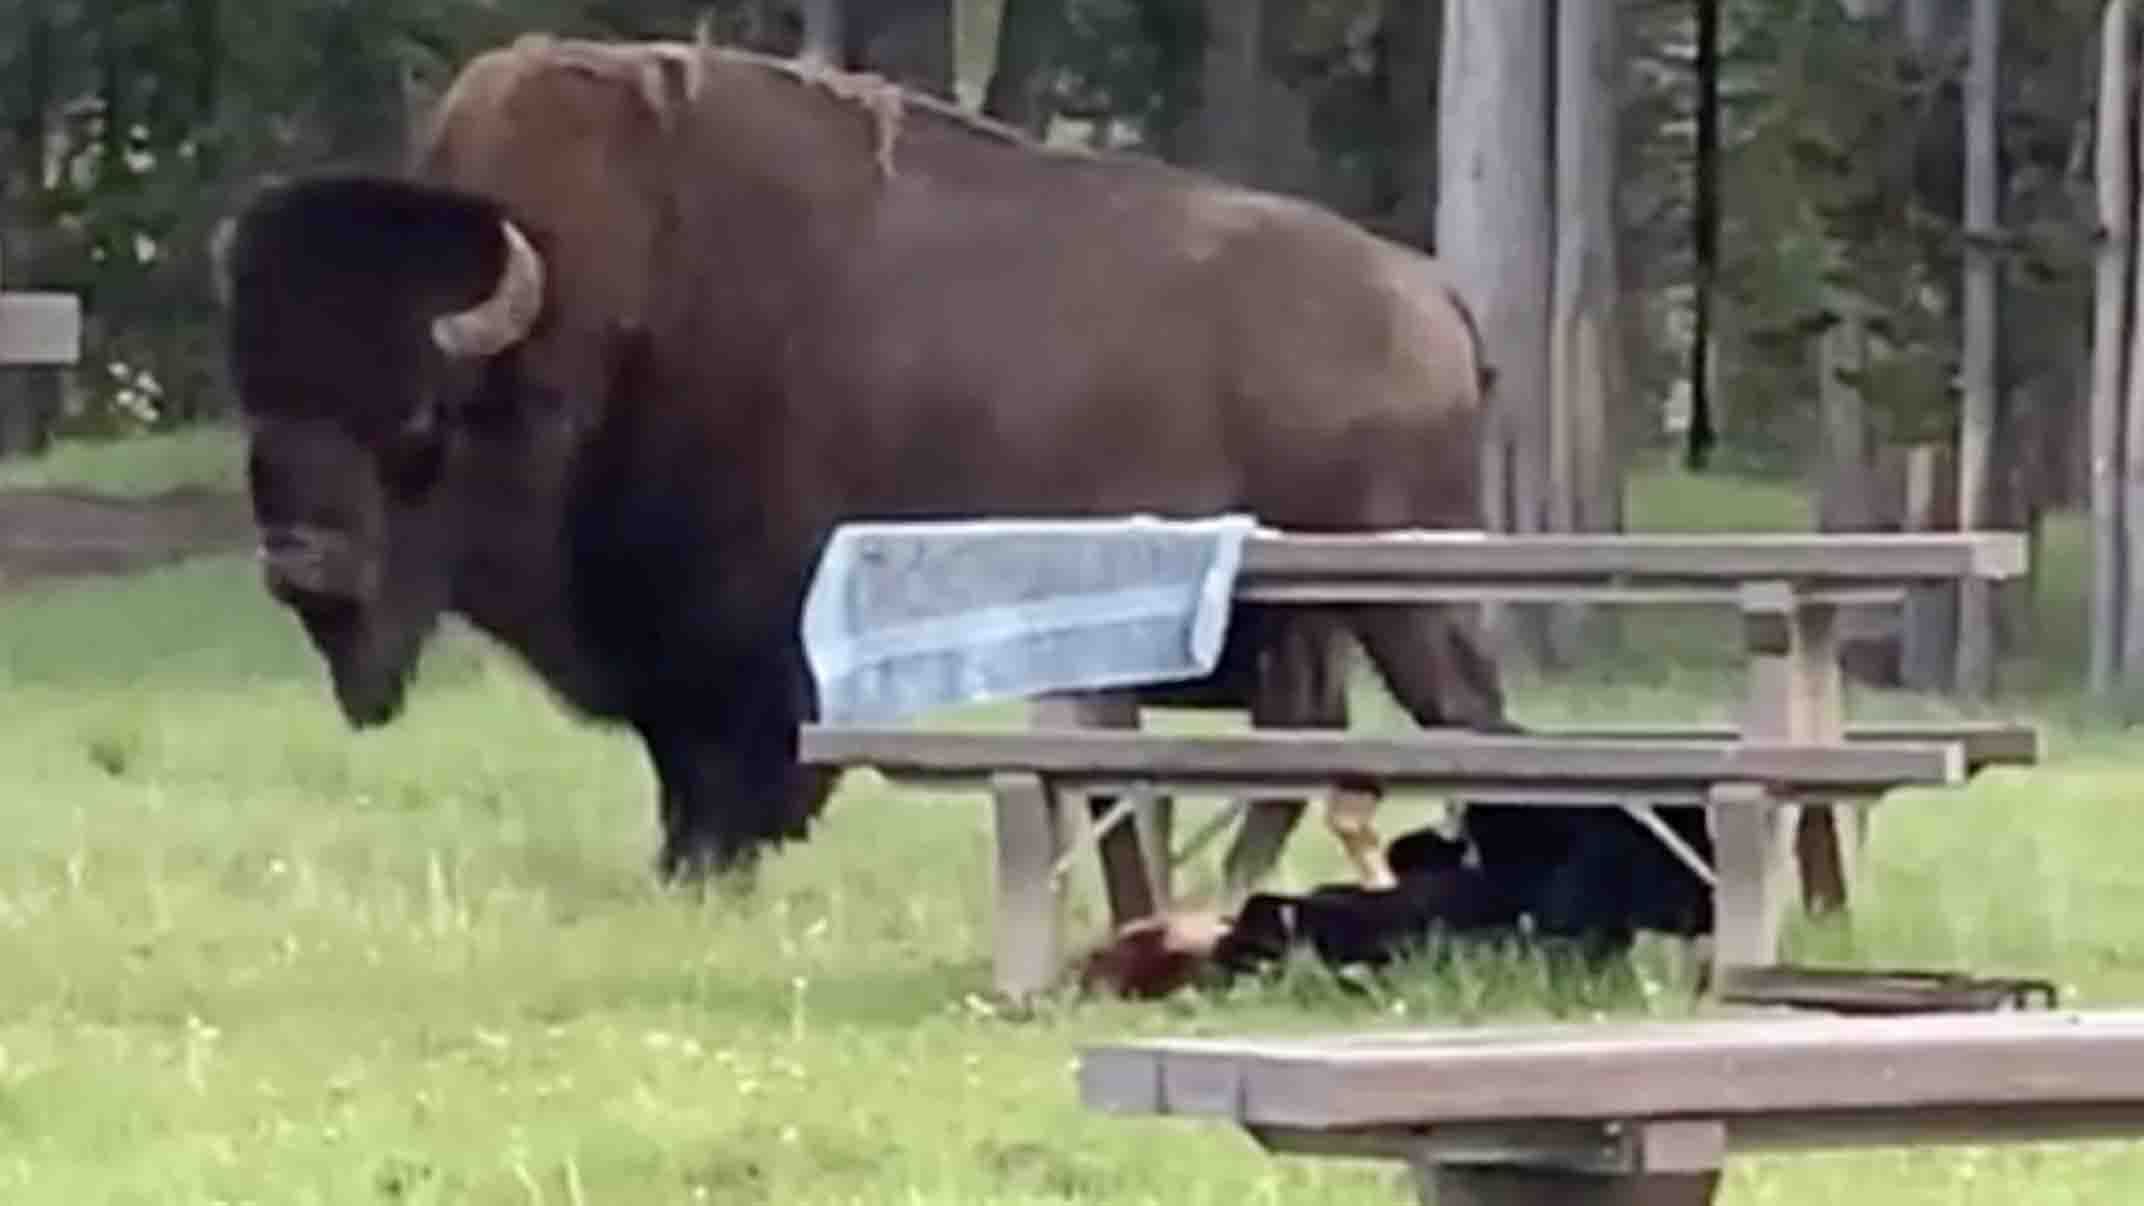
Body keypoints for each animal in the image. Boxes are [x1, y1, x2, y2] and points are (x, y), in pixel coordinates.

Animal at [215, 36, 1503, 895]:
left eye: (417, 426)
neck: (587, 328)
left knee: (1458, 720)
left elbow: (731, 780)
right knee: (1311, 749)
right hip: (1302, 621)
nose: (304, 569)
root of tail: (1428, 291)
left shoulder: (748, 659)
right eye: (257, 408)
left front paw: (711, 873)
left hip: (1398, 601)